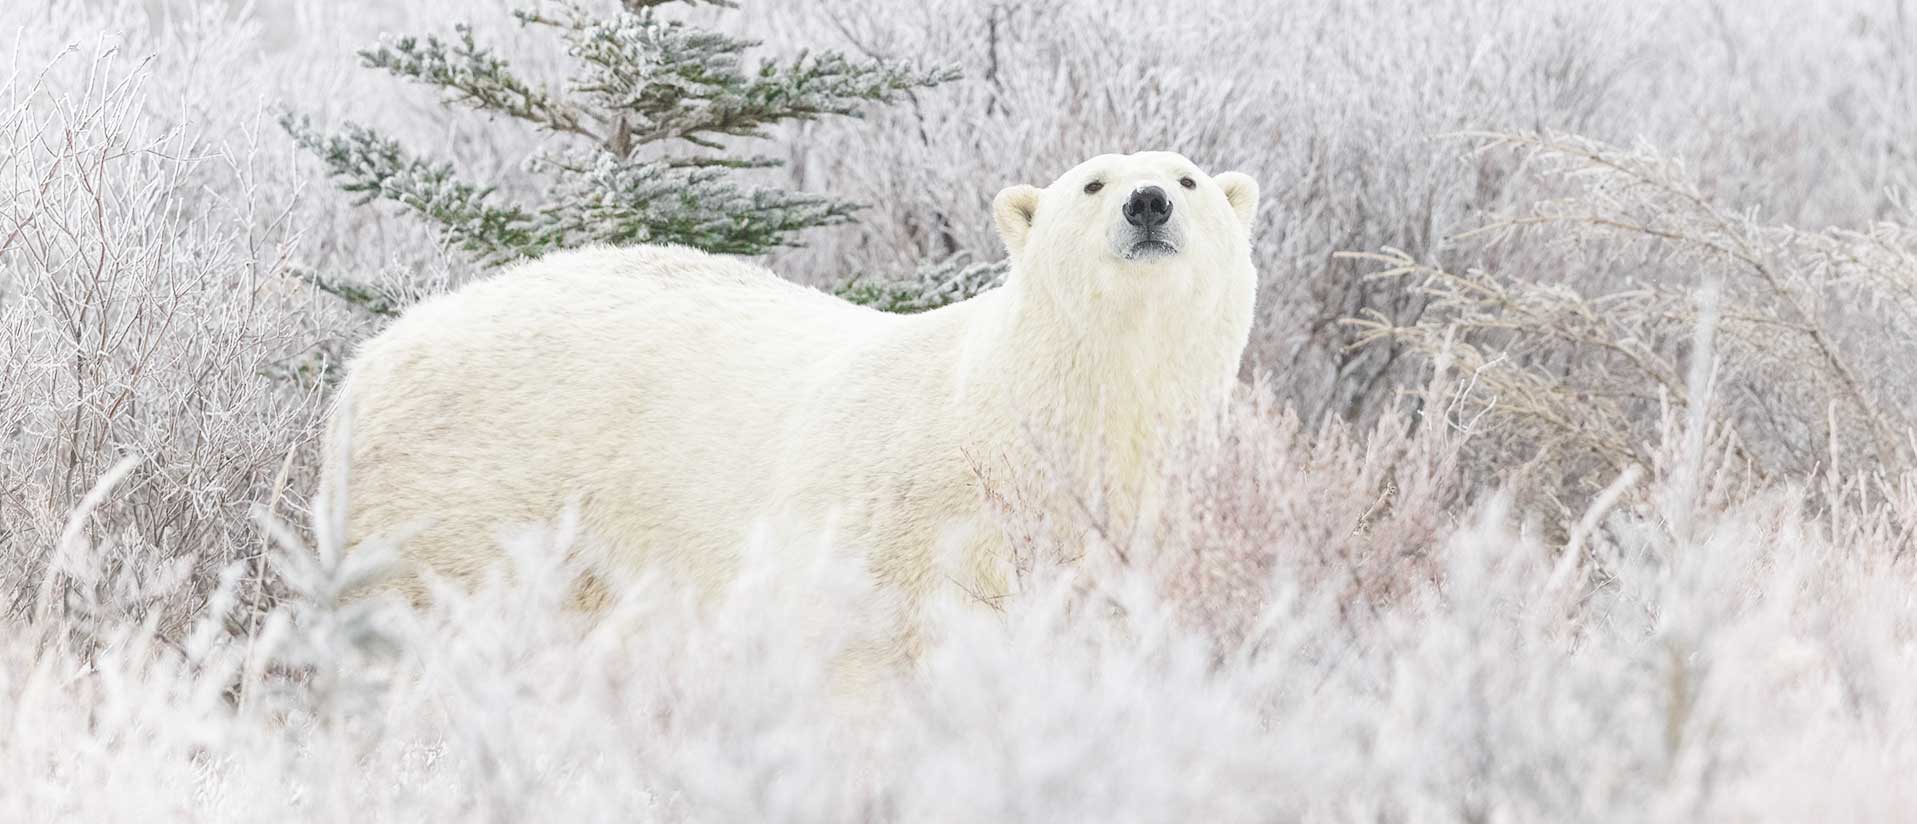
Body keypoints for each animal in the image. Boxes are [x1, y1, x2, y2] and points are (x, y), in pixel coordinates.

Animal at [329, 149, 1257, 663]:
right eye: (1092, 184)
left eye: (1188, 178)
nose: (1147, 202)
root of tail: (372, 358)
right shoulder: (900, 531)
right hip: (471, 490)